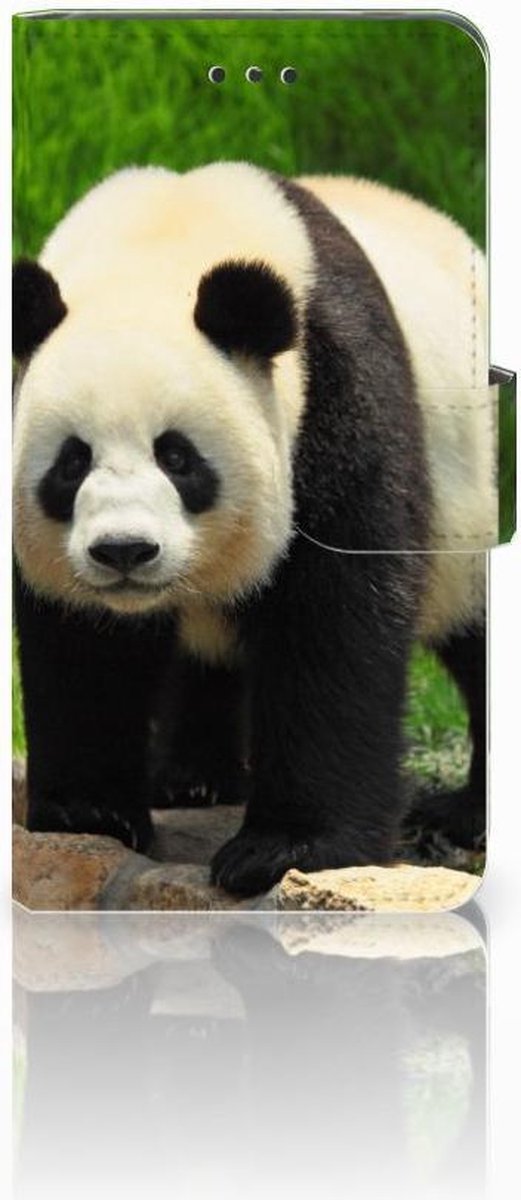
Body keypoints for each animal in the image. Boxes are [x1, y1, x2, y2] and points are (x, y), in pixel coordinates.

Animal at [12, 162, 494, 896]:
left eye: (178, 457)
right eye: (71, 463)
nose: (124, 551)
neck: (161, 246)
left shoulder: (335, 393)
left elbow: (333, 619)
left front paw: (287, 848)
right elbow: (82, 643)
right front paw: (88, 813)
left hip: (472, 500)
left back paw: (464, 815)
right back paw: (192, 779)